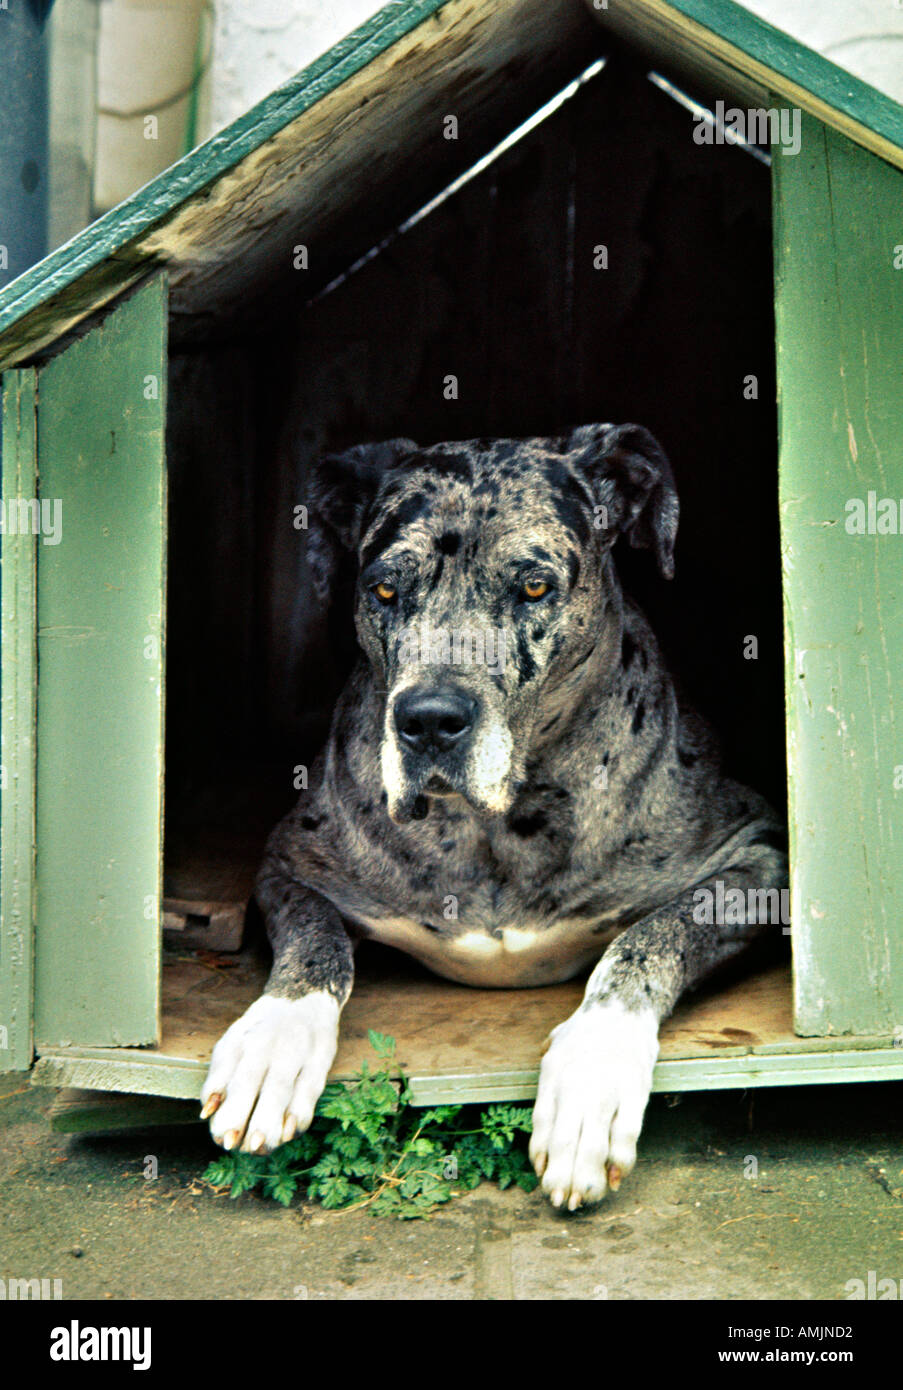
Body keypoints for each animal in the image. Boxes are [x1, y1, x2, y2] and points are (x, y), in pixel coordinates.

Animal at [200, 428, 783, 1212]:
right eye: (384, 588)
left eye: (532, 586)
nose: (429, 721)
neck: (496, 829)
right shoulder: (289, 861)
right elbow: (314, 936)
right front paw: (274, 1038)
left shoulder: (758, 854)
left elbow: (650, 936)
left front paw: (593, 1070)